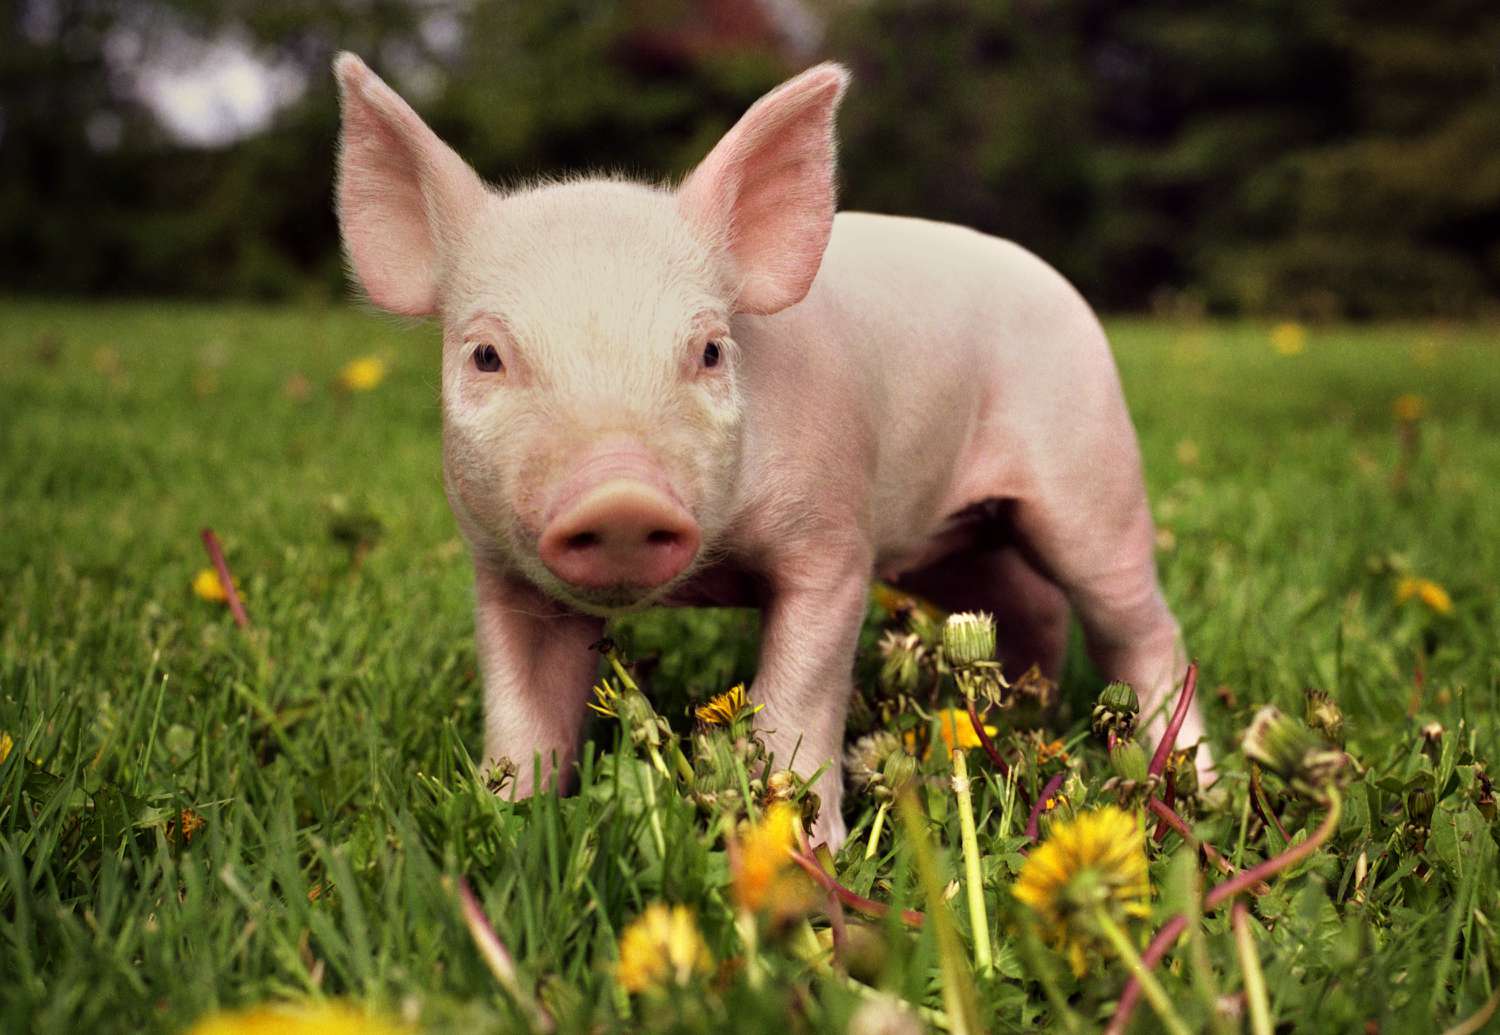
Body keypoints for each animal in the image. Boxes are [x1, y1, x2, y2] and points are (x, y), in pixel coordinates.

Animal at [332, 53, 1207, 848]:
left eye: (711, 350)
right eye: (486, 355)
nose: (620, 496)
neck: (707, 580)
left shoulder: (835, 541)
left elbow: (799, 690)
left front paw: (804, 847)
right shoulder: (499, 569)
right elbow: (524, 712)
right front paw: (504, 824)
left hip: (1092, 473)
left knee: (1138, 624)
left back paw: (1193, 775)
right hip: (959, 541)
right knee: (1029, 605)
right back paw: (1021, 719)